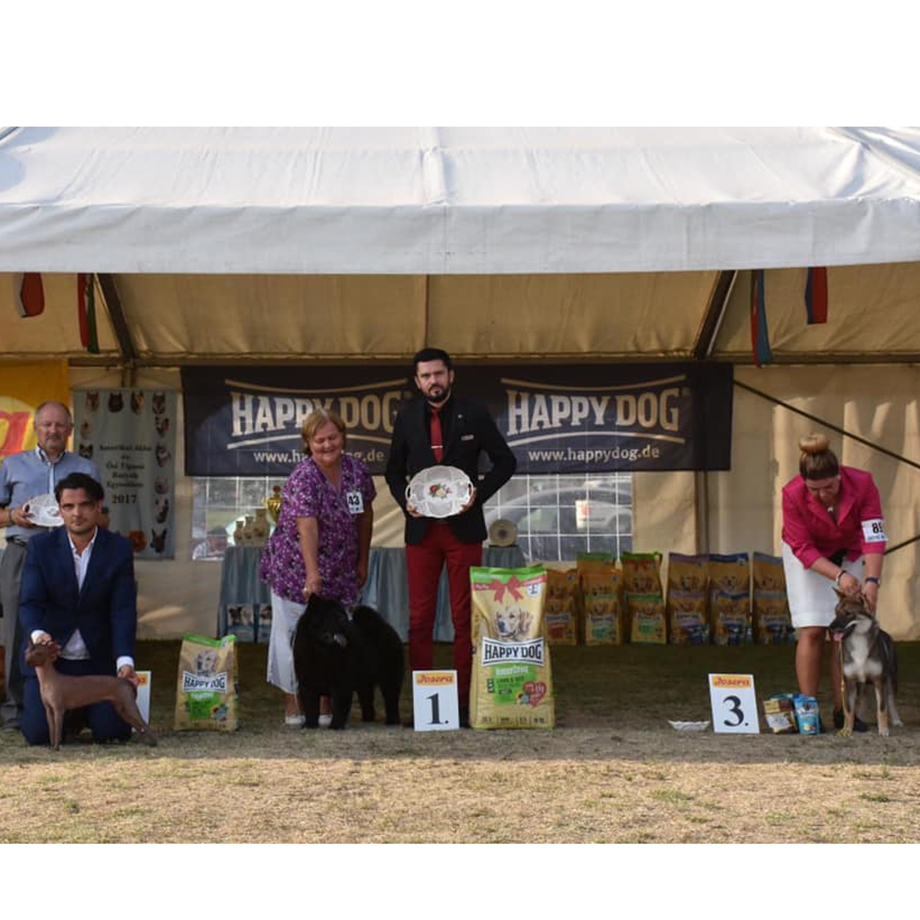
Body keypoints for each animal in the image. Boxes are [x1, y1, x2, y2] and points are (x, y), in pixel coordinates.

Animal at [24, 640, 156, 750]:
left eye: (39, 653)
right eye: (27, 652)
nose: (27, 662)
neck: (48, 680)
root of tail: (125, 680)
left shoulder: (59, 709)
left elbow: (57, 730)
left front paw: (56, 747)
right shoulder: (48, 709)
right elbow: (51, 729)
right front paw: (51, 746)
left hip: (129, 705)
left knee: (144, 723)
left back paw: (154, 743)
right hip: (121, 709)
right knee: (138, 726)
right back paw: (146, 742)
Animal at [293, 595, 403, 730]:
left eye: (342, 615)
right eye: (332, 615)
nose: (344, 620)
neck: (321, 651)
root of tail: (388, 628)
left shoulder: (341, 682)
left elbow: (338, 706)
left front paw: (335, 725)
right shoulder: (307, 682)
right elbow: (310, 706)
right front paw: (310, 725)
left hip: (389, 677)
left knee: (391, 699)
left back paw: (392, 721)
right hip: (364, 682)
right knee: (367, 700)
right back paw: (367, 719)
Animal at [829, 592, 902, 736]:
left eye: (848, 613)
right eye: (835, 613)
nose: (831, 627)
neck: (859, 640)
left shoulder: (879, 681)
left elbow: (882, 709)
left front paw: (883, 729)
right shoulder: (849, 682)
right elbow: (849, 711)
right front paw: (847, 730)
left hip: (891, 679)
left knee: (891, 700)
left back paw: (896, 720)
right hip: (861, 684)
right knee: (862, 700)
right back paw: (861, 718)